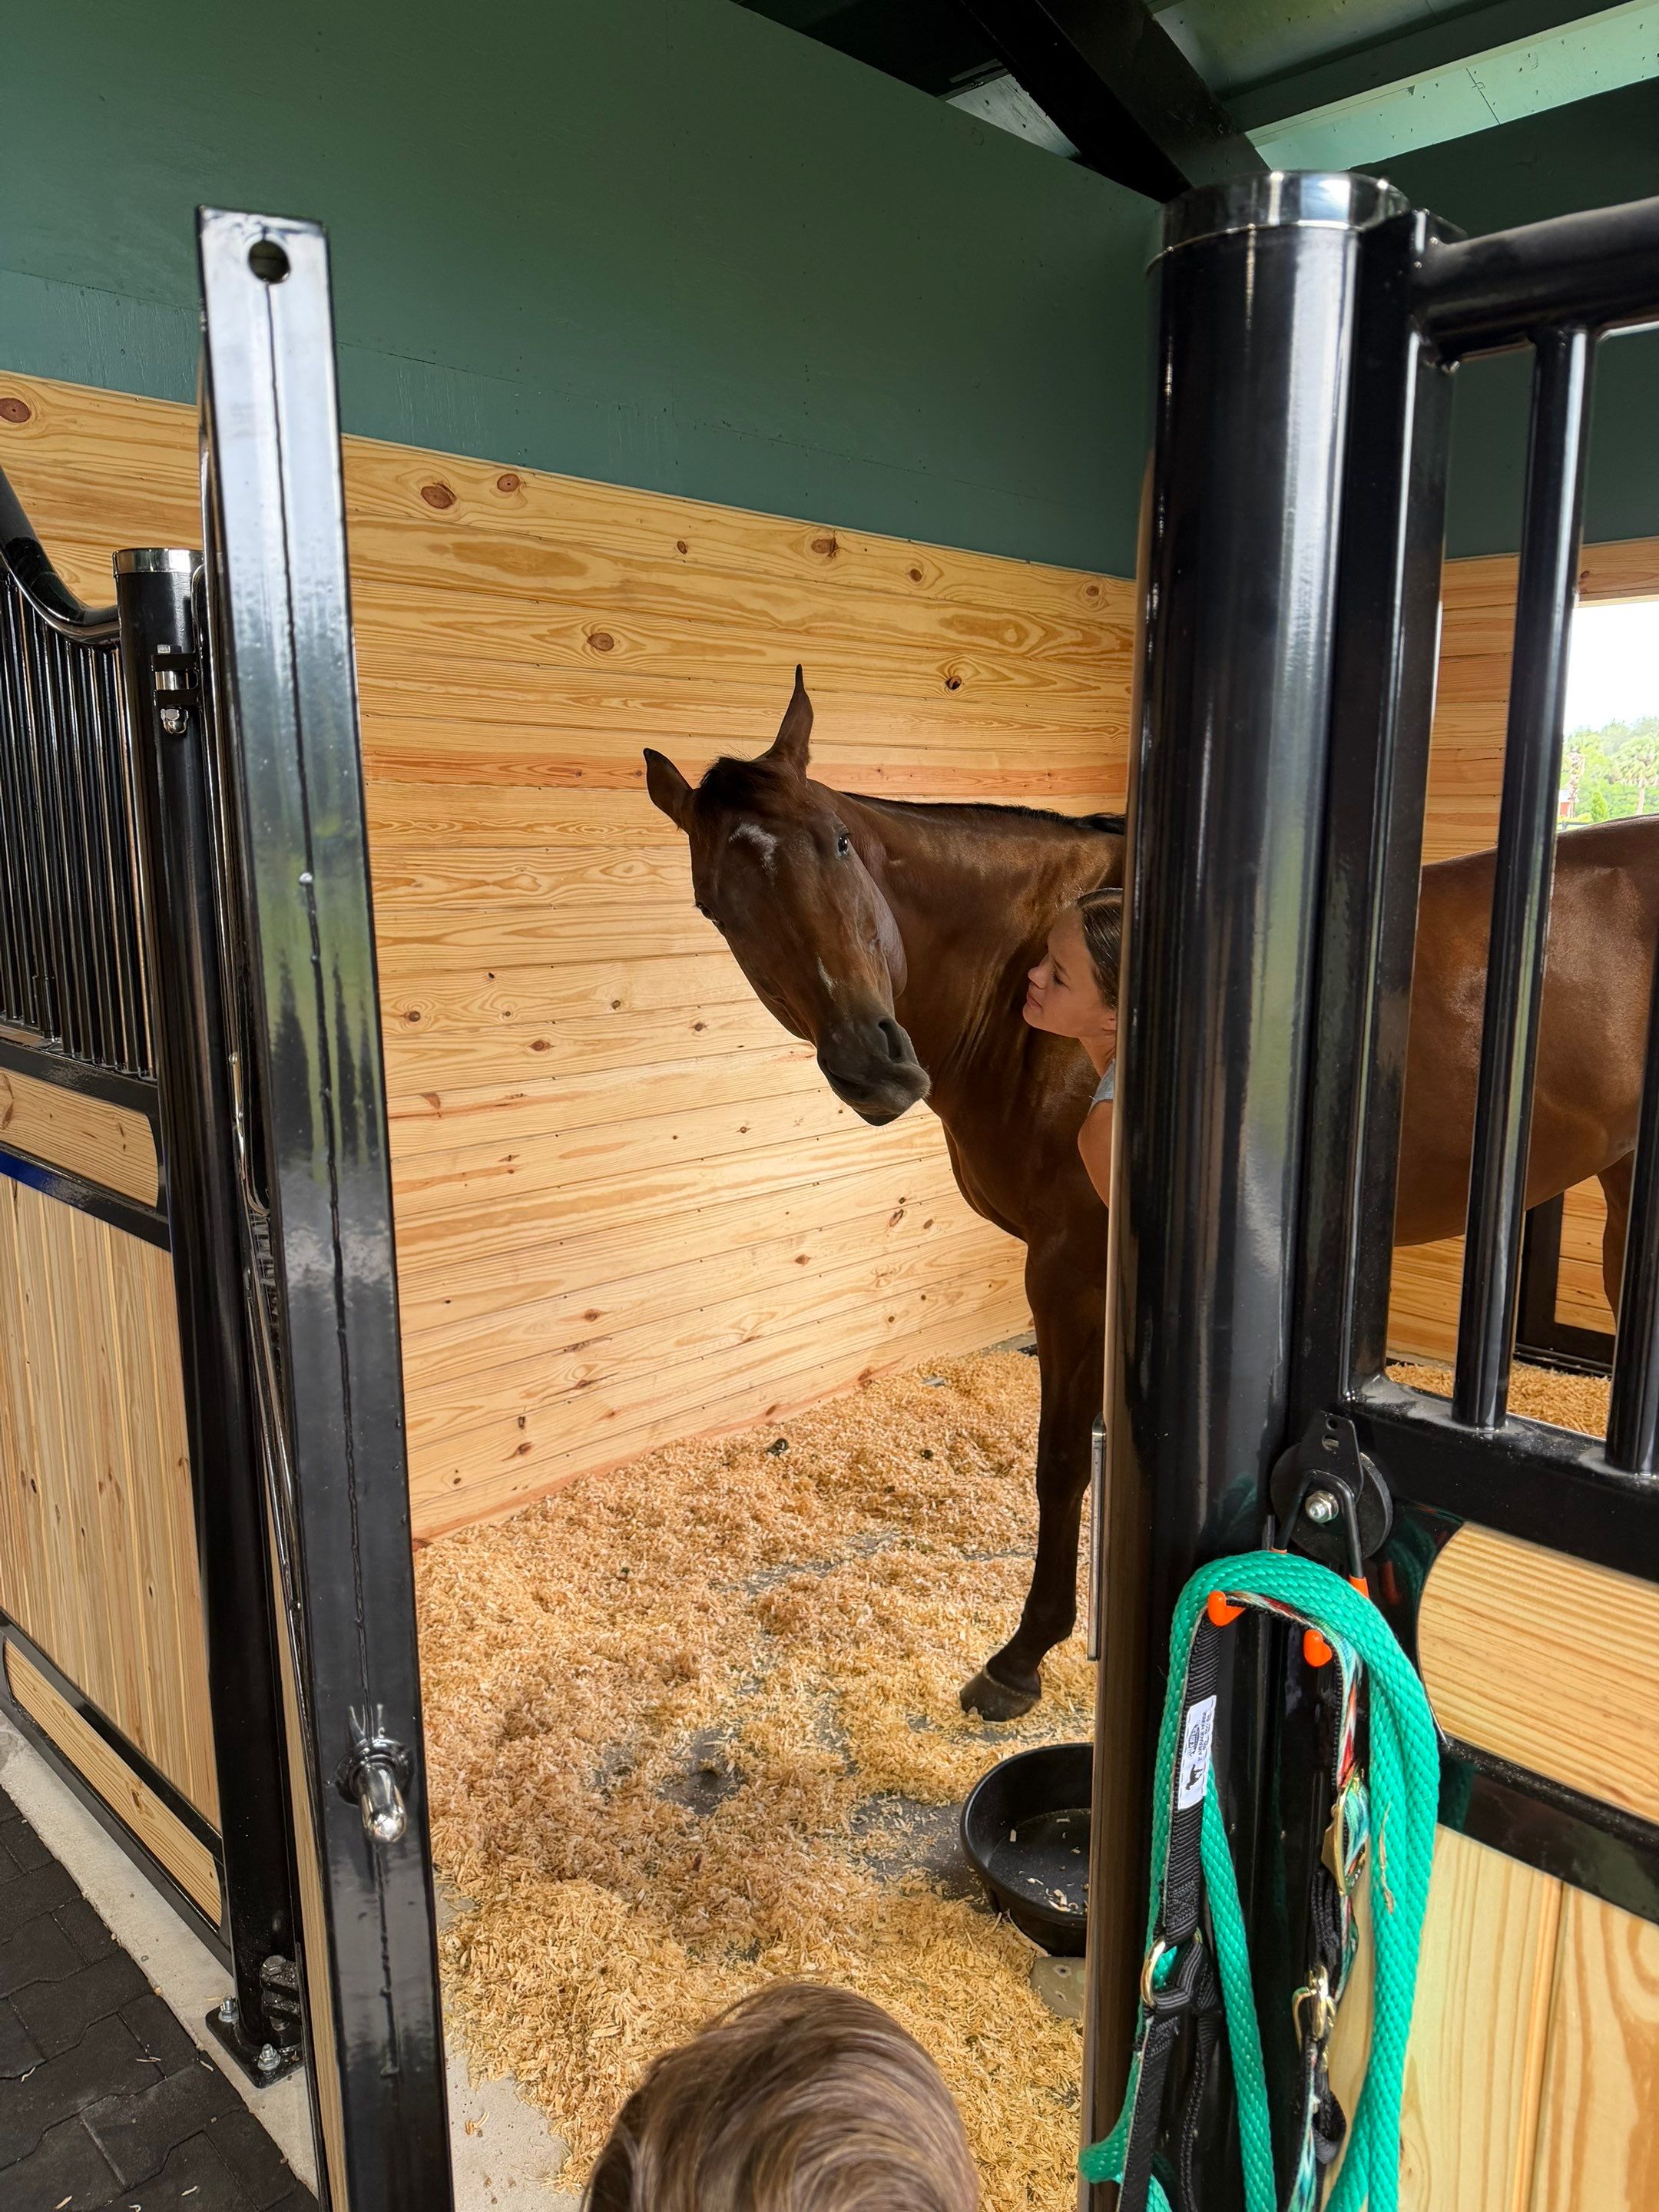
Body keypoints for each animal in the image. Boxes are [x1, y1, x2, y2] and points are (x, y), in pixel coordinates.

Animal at [645, 671, 1659, 1717]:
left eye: (838, 842)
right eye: (715, 903)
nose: (874, 1062)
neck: (1030, 979)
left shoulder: (1071, 1264)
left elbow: (1063, 1460)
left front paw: (1023, 1656)